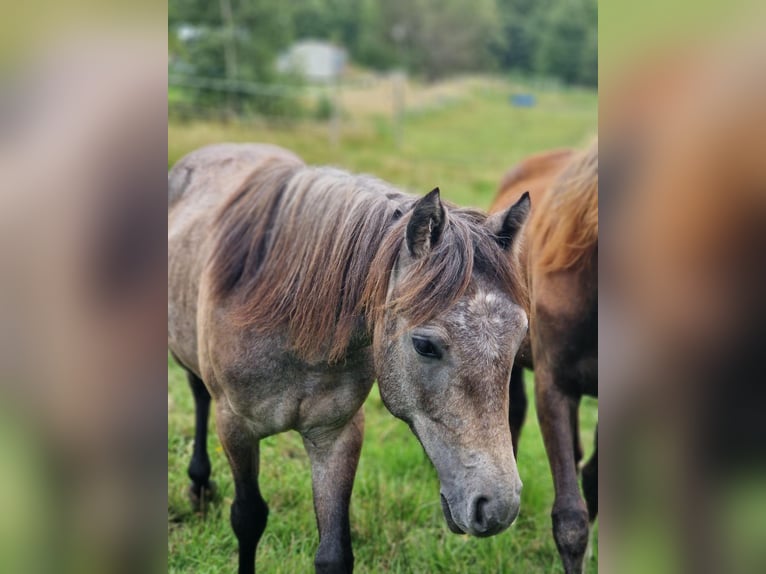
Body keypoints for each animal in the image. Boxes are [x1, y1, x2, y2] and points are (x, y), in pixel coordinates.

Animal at [170, 144, 536, 574]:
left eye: (519, 337)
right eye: (425, 345)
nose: (498, 507)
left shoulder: (337, 433)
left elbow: (334, 553)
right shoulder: (235, 427)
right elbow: (248, 518)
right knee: (198, 395)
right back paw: (199, 485)